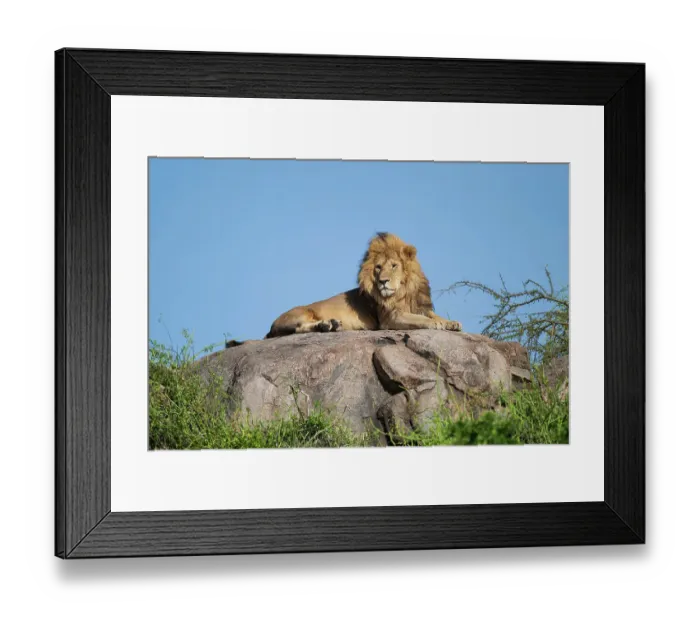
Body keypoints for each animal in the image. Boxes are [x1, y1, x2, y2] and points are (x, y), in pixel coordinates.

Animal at [255, 232, 462, 342]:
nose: (383, 281)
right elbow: (421, 320)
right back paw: (326, 324)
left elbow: (432, 315)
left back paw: (331, 325)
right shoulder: (390, 318)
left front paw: (452, 323)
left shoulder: (418, 306)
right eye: (378, 267)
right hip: (302, 313)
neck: (403, 291)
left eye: (394, 265)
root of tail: (272, 325)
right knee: (298, 328)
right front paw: (437, 324)